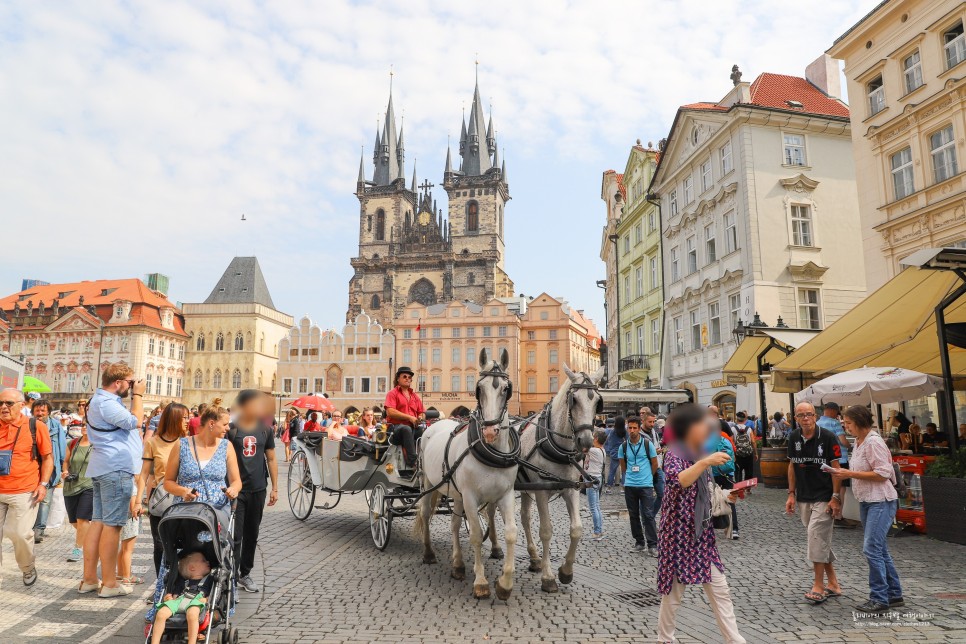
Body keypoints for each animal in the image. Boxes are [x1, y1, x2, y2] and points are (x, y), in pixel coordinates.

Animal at [416, 350, 520, 600]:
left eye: (506, 388)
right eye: (479, 388)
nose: (490, 431)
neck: (491, 454)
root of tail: (435, 423)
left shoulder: (505, 494)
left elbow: (511, 533)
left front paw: (505, 583)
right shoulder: (472, 497)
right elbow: (475, 534)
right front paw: (481, 582)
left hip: (457, 494)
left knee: (454, 524)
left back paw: (458, 565)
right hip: (428, 483)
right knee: (425, 514)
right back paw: (429, 553)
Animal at [520, 364, 600, 592]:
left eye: (597, 401)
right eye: (574, 400)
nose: (586, 441)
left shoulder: (571, 489)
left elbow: (577, 529)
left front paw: (566, 571)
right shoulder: (541, 492)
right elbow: (546, 530)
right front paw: (548, 577)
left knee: (524, 517)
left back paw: (534, 558)